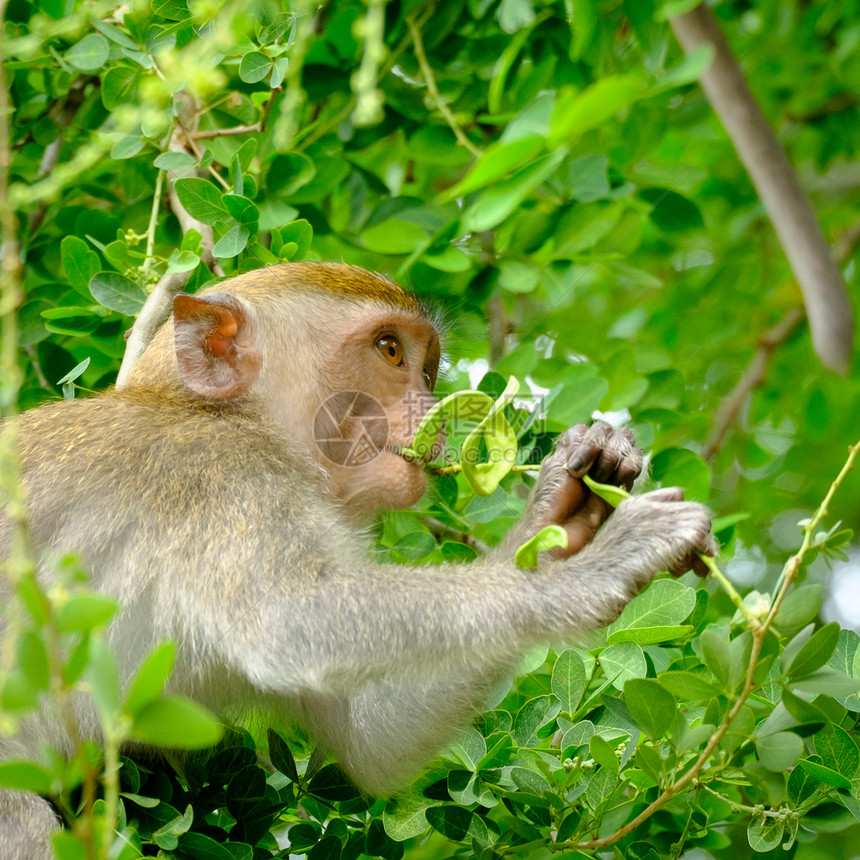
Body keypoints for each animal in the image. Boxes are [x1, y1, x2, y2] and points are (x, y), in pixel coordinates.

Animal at [0, 262, 716, 852]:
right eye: (390, 350)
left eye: (426, 367)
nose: (433, 413)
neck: (226, 413)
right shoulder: (219, 481)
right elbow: (292, 624)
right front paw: (586, 573)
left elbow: (371, 738)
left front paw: (563, 511)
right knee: (25, 819)